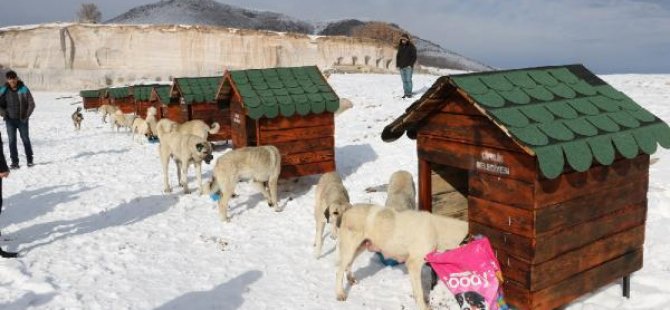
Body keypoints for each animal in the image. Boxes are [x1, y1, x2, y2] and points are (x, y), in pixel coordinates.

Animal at [336, 203, 468, 310]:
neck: (438, 230)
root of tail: (349, 208)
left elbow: (416, 290)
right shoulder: (414, 264)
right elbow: (419, 292)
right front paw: (423, 307)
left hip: (360, 247)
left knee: (349, 264)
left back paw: (351, 278)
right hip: (350, 248)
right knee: (339, 270)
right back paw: (340, 293)